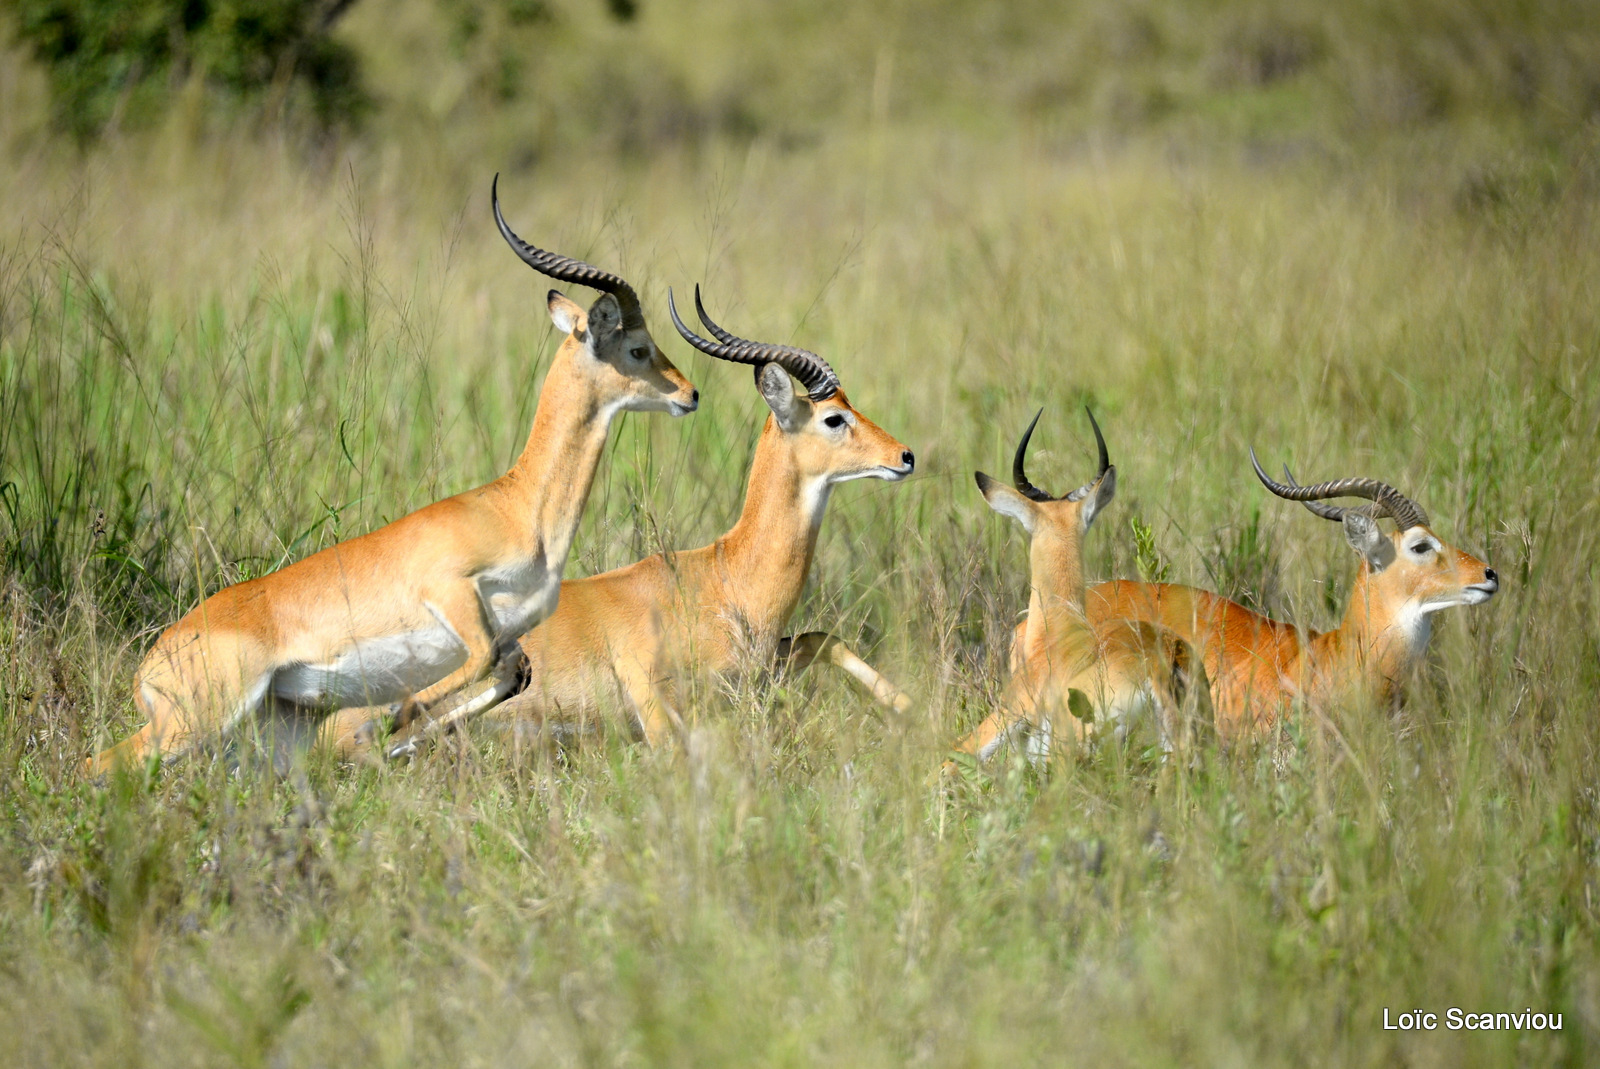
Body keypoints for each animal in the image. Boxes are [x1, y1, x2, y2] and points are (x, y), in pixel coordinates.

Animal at [86, 179, 700, 771]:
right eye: (638, 348)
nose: (691, 394)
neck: (514, 506)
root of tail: (151, 662)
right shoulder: (453, 596)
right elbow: (471, 669)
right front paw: (382, 727)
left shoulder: (510, 638)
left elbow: (508, 677)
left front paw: (391, 737)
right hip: (194, 722)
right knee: (101, 765)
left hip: (274, 729)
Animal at [342, 283, 921, 752]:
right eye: (834, 418)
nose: (906, 456)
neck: (726, 576)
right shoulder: (654, 691)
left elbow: (822, 638)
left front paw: (909, 711)